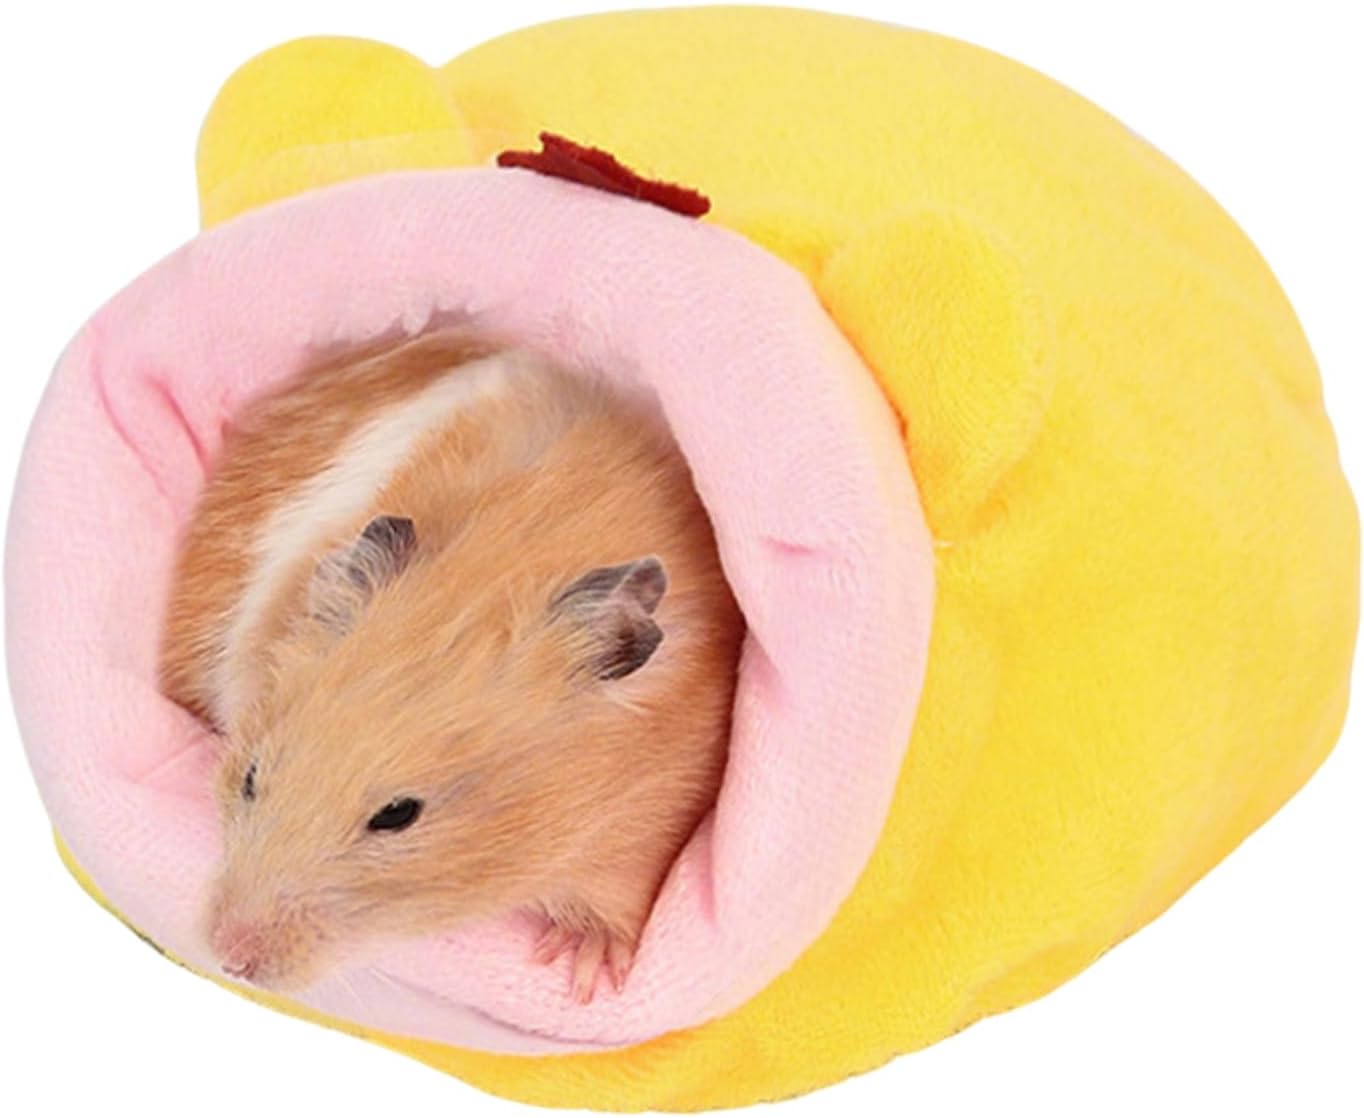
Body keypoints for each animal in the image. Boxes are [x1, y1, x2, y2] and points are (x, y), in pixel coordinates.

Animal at [158, 330, 745, 1003]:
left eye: (398, 816)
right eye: (250, 777)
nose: (230, 958)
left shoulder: (654, 811)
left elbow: (620, 892)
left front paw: (586, 976)